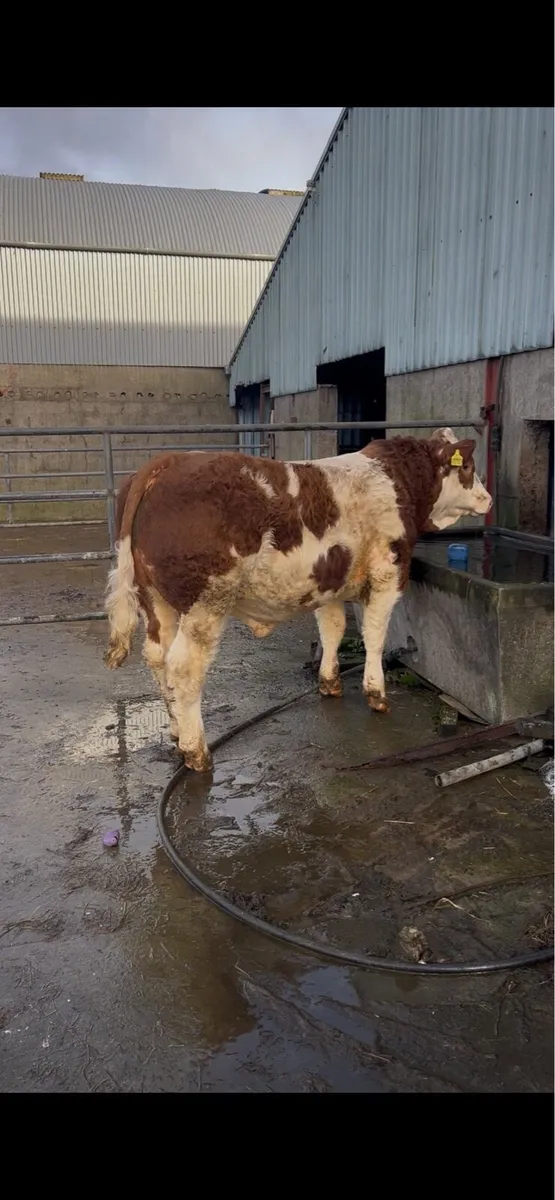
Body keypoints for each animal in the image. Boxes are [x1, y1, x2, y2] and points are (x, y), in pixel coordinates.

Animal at [104, 428, 492, 772]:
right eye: (469, 466)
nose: (488, 498)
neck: (396, 481)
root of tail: (166, 461)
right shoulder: (387, 574)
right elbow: (375, 636)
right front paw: (377, 694)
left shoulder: (330, 583)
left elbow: (333, 629)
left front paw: (330, 682)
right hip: (205, 604)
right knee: (183, 669)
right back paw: (196, 751)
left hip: (155, 600)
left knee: (157, 656)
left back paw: (174, 728)